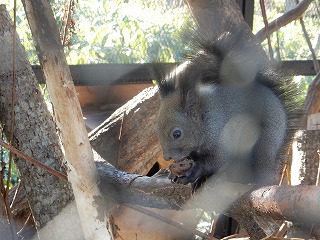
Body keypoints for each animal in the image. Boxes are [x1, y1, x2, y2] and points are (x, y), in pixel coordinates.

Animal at [152, 25, 302, 186]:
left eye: (177, 134)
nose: (167, 157)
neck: (203, 116)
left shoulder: (220, 131)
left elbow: (217, 160)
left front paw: (195, 172)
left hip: (266, 140)